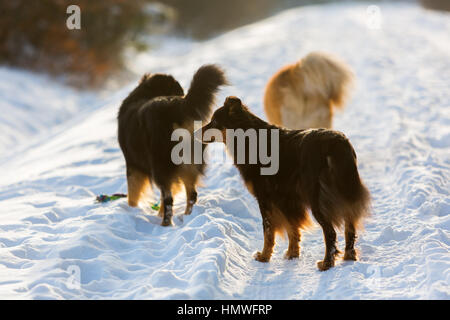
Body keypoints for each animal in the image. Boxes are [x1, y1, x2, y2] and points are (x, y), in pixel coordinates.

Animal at [118, 64, 227, 225]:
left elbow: (133, 193)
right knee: (191, 195)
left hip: (161, 166)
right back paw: (186, 217)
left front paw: (132, 209)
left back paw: (166, 224)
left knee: (169, 199)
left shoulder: (133, 165)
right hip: (190, 162)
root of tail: (175, 107)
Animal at [200, 97, 370, 270]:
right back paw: (349, 257)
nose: (194, 133)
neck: (249, 139)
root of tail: (335, 144)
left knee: (330, 232)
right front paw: (292, 254)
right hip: (345, 191)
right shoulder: (286, 199)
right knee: (350, 226)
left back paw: (326, 264)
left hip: (317, 199)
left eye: (214, 121)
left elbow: (268, 231)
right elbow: (292, 229)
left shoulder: (265, 198)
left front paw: (264, 256)